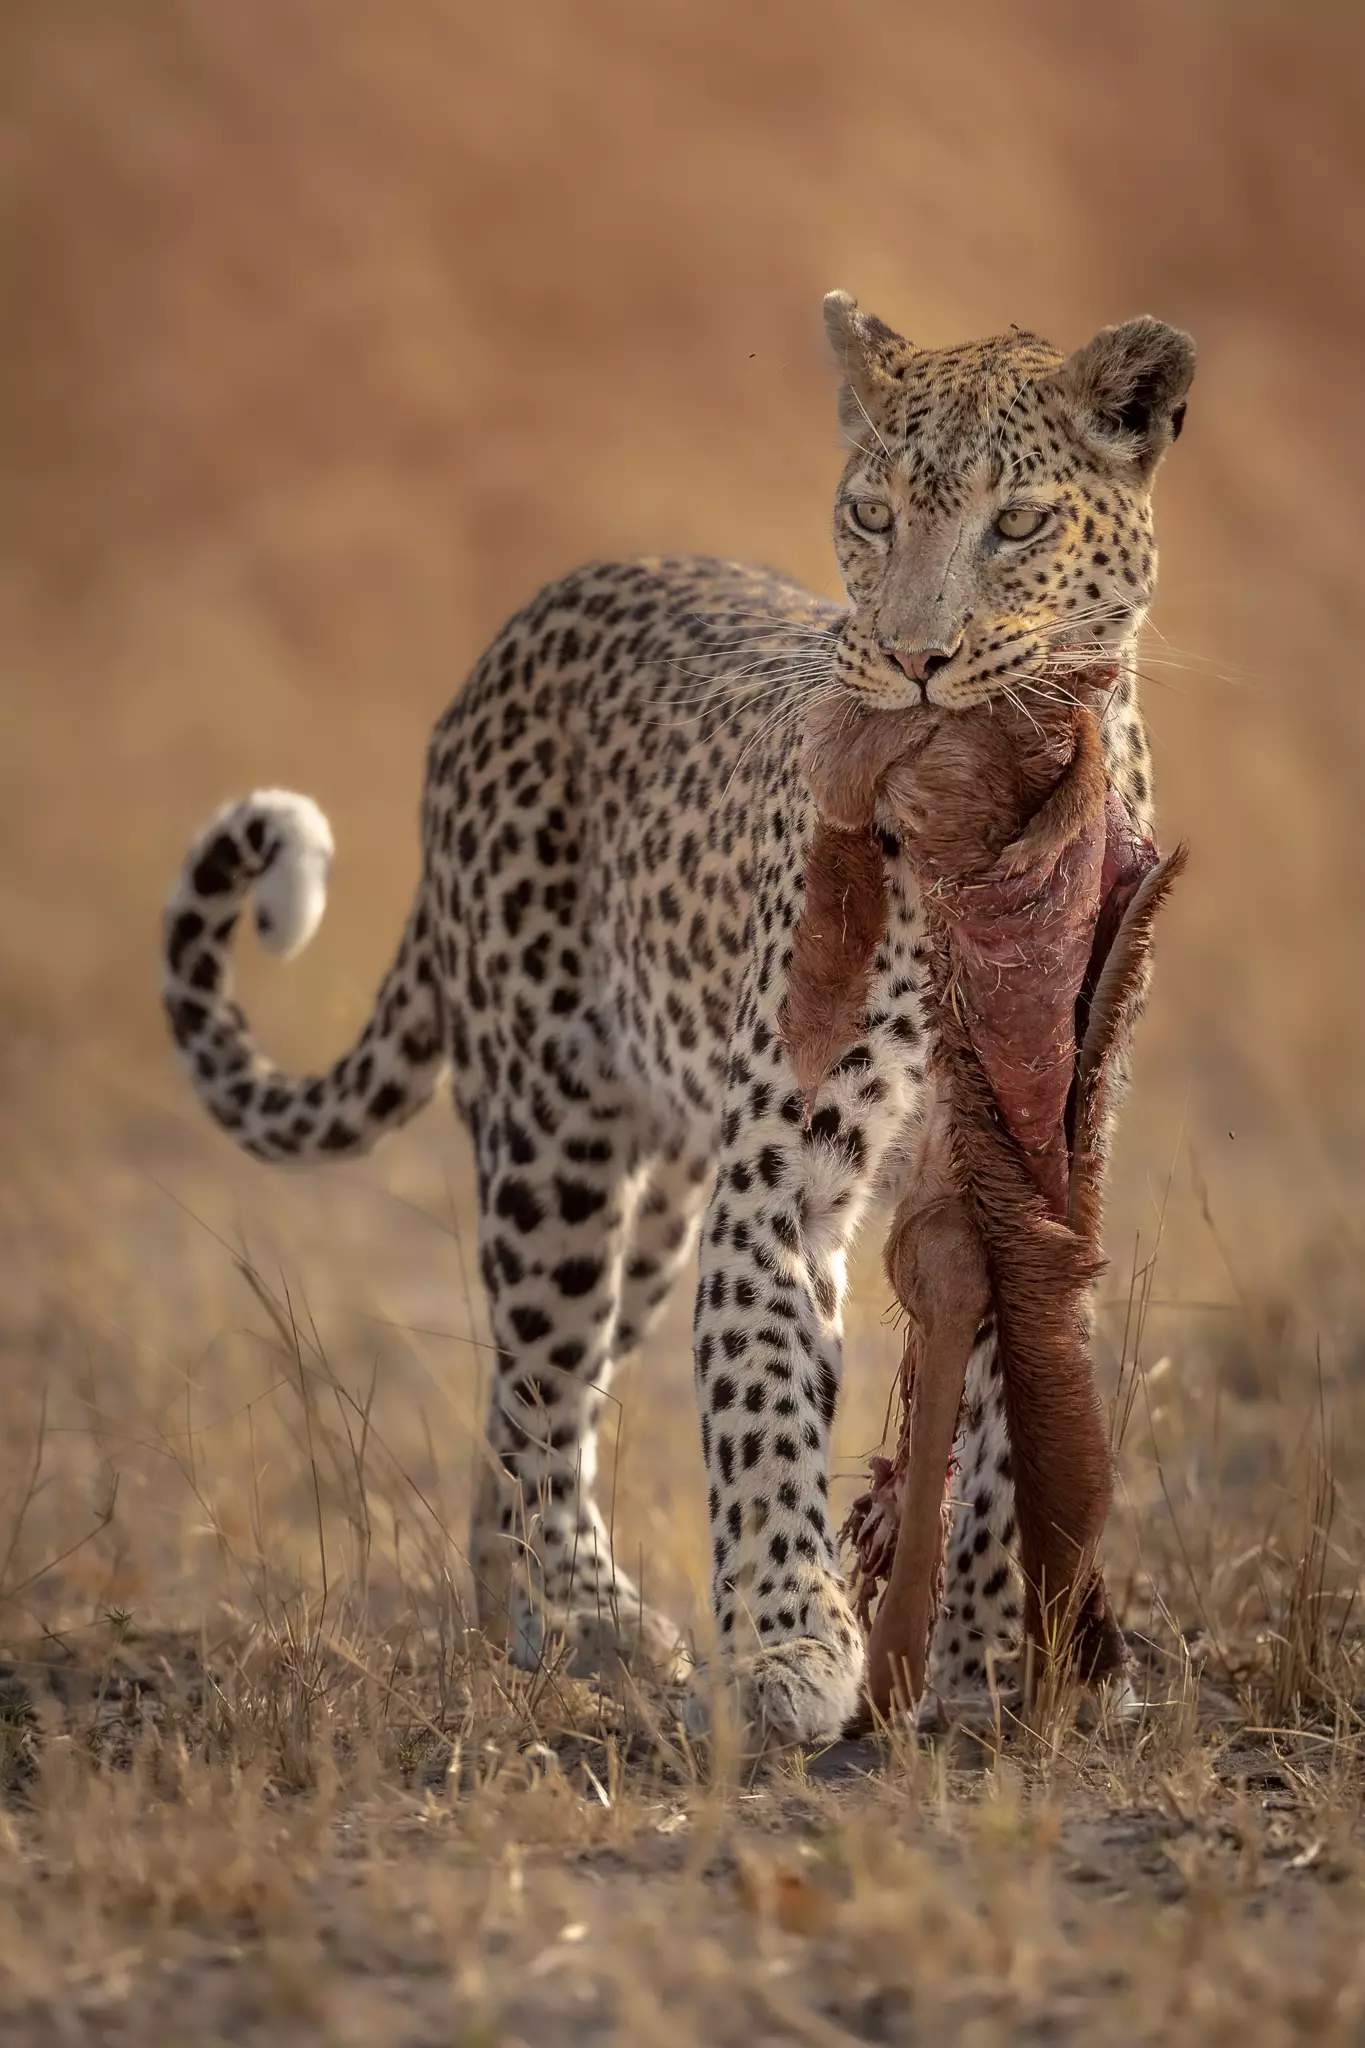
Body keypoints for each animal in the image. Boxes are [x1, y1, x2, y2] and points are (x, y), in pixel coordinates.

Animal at [160, 292, 1186, 1744]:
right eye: (872, 512)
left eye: (1022, 522)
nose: (917, 661)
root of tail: (527, 619)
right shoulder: (789, 1152)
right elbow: (762, 1386)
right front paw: (790, 1645)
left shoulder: (1033, 1154)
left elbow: (1008, 1407)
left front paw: (993, 1654)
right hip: (557, 1139)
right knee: (540, 1386)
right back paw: (590, 1618)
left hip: (652, 1191)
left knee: (527, 1395)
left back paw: (522, 1618)